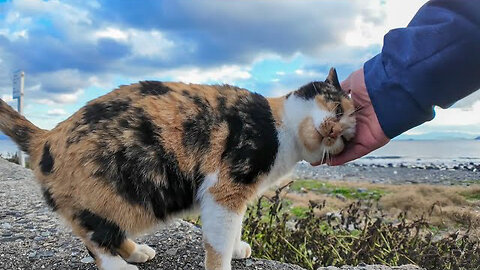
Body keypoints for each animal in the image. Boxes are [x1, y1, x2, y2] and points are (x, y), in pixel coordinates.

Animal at [0, 67, 356, 268]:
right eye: (338, 109)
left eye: (347, 138)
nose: (335, 132)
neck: (283, 130)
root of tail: (47, 136)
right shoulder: (225, 187)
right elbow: (218, 241)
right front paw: (224, 259)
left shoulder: (235, 195)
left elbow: (234, 227)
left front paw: (237, 247)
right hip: (106, 196)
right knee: (94, 239)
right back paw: (121, 266)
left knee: (104, 232)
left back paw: (136, 252)